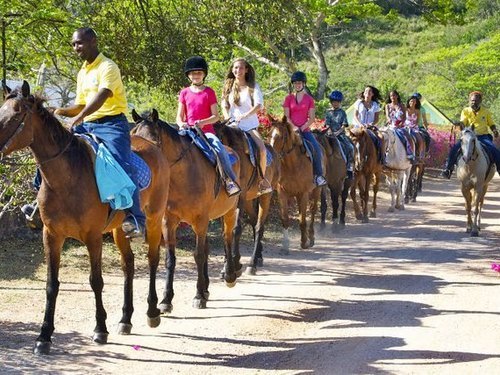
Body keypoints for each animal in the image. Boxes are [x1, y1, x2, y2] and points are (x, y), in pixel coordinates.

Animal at [0, 82, 170, 356]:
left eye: (17, 114)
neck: (67, 177)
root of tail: (151, 145)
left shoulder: (92, 237)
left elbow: (96, 281)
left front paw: (100, 329)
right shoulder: (51, 235)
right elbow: (51, 284)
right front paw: (44, 336)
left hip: (154, 219)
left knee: (153, 259)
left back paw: (153, 311)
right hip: (118, 230)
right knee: (128, 264)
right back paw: (125, 319)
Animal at [130, 108, 241, 312]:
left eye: (152, 140)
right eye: (132, 135)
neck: (183, 175)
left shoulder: (200, 220)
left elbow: (198, 255)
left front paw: (198, 296)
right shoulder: (169, 222)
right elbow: (171, 259)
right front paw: (166, 300)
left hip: (228, 211)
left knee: (227, 237)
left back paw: (229, 276)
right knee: (208, 246)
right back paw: (206, 288)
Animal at [212, 122, 280, 274]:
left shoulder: (240, 197)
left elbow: (236, 228)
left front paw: (235, 262)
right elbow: (225, 231)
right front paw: (226, 265)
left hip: (265, 196)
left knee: (259, 226)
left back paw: (252, 263)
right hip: (249, 201)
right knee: (254, 222)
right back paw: (259, 257)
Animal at [268, 116, 322, 254]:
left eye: (280, 136)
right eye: (269, 134)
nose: (270, 155)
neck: (292, 164)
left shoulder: (304, 193)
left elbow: (303, 219)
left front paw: (304, 242)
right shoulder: (282, 193)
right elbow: (285, 219)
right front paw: (285, 245)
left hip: (316, 191)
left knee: (312, 211)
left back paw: (311, 238)